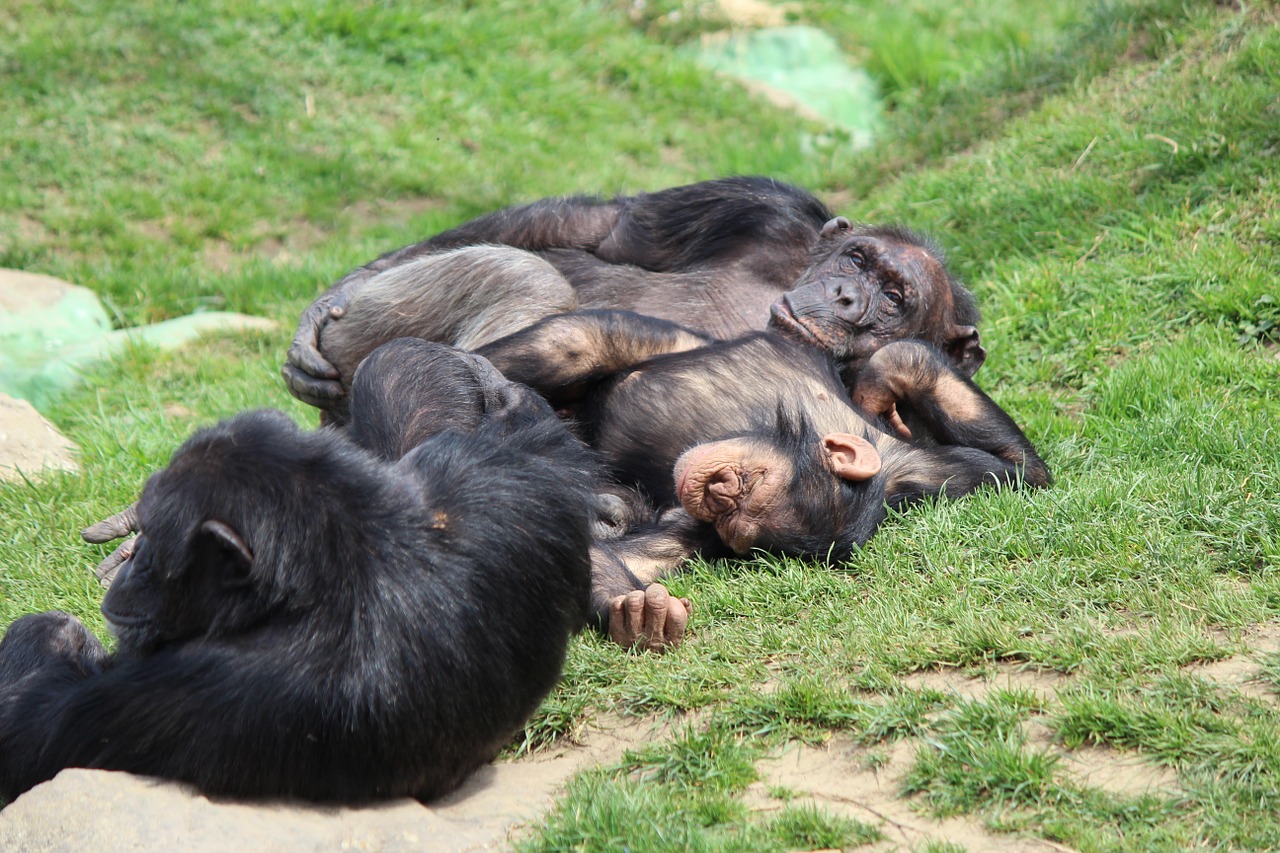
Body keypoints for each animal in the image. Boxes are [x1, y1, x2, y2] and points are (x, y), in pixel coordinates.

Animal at [0, 338, 596, 799]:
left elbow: (24, 726)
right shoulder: (490, 485)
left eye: (157, 552)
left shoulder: (174, 694)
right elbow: (536, 447)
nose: (134, 567)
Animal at [473, 308, 1049, 648]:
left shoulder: (696, 533)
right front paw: (881, 381)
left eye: (733, 524)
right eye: (746, 485)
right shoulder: (931, 473)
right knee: (578, 339)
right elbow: (1022, 470)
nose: (715, 492)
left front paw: (633, 611)